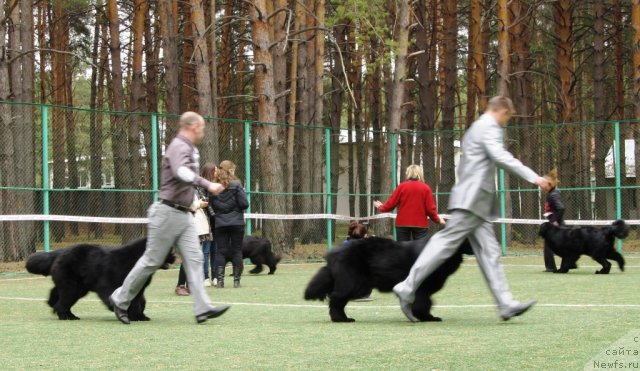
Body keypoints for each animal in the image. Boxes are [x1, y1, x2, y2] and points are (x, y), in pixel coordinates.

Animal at [25, 240, 175, 322]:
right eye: (170, 251)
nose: (174, 257)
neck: (138, 258)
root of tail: (59, 252)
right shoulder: (109, 284)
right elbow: (124, 299)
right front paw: (122, 311)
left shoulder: (138, 289)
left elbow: (138, 302)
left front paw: (140, 316)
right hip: (73, 288)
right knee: (63, 302)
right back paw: (67, 316)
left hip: (77, 286)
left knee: (56, 294)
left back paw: (54, 306)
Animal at [302, 238, 472, 322]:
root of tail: (333, 254)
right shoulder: (420, 287)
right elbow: (424, 303)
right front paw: (427, 318)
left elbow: (427, 302)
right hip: (355, 284)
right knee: (336, 299)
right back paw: (341, 319)